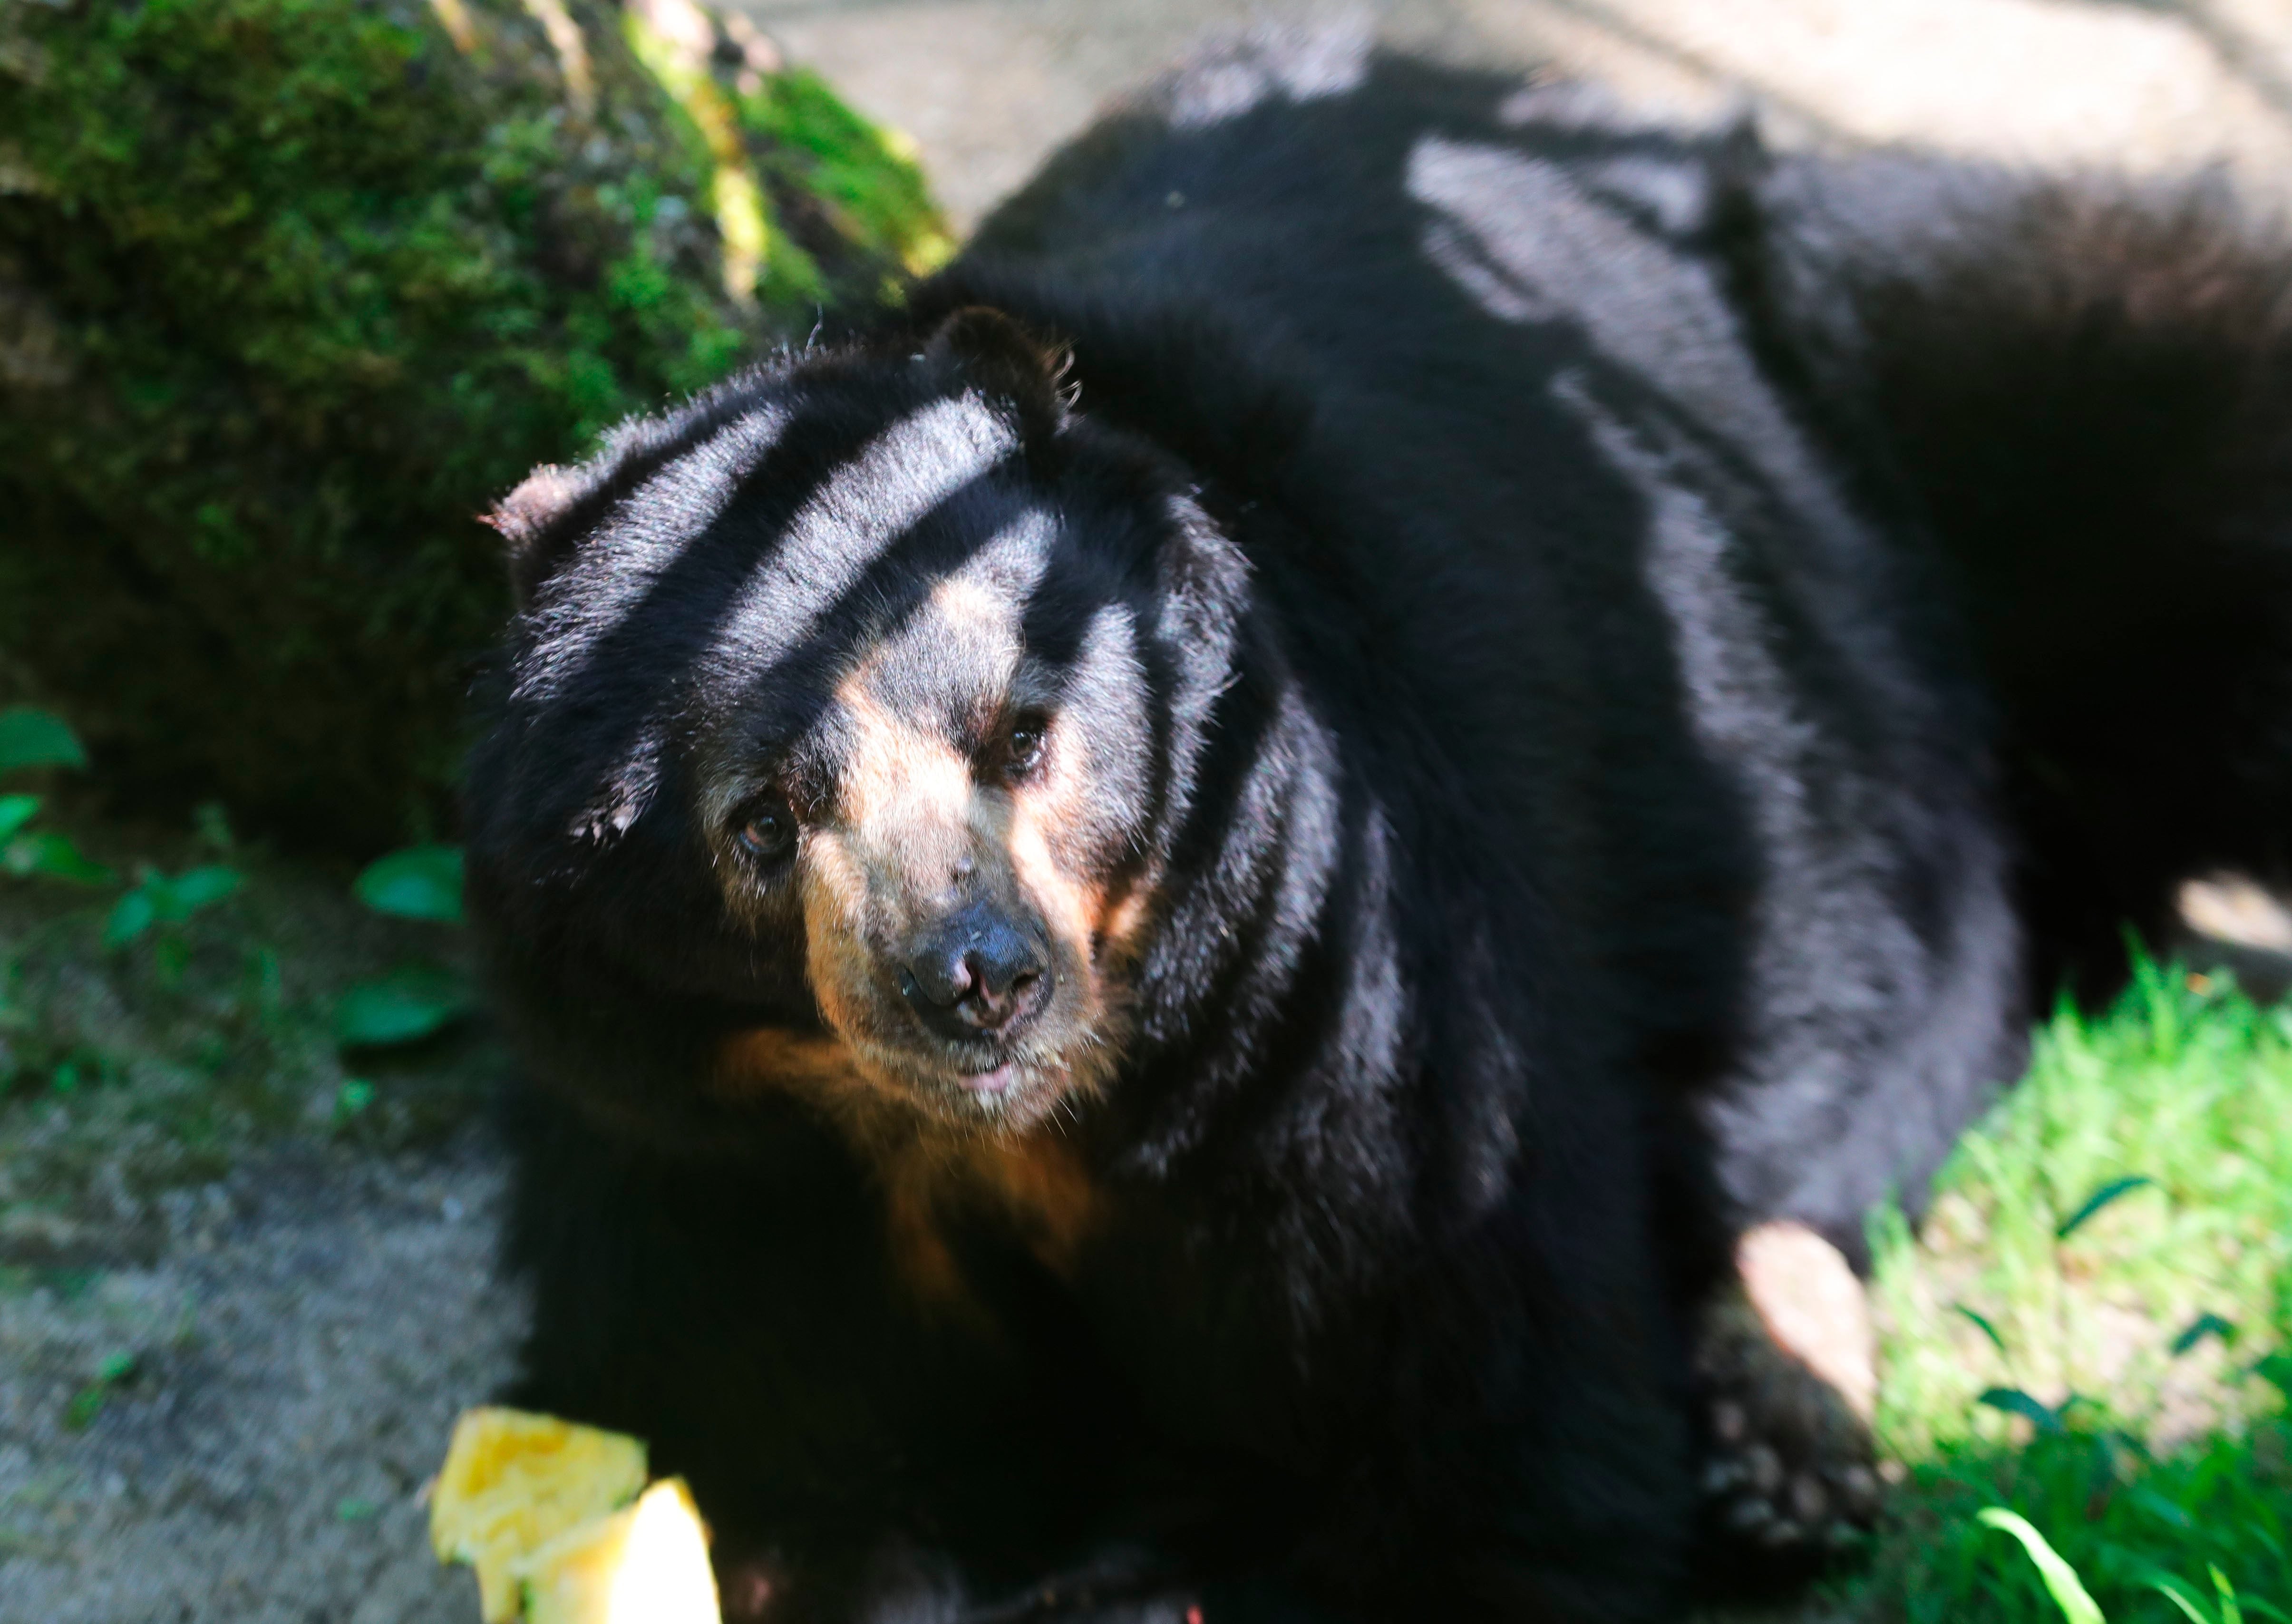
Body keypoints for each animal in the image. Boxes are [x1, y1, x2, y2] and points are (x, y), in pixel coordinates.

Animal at [460, 24, 2292, 1624]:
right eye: (764, 820)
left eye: (1022, 732)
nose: (971, 978)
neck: (1014, 1126)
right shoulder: (693, 1142)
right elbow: (740, 1425)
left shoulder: (1355, 999)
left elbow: (1471, 1447)